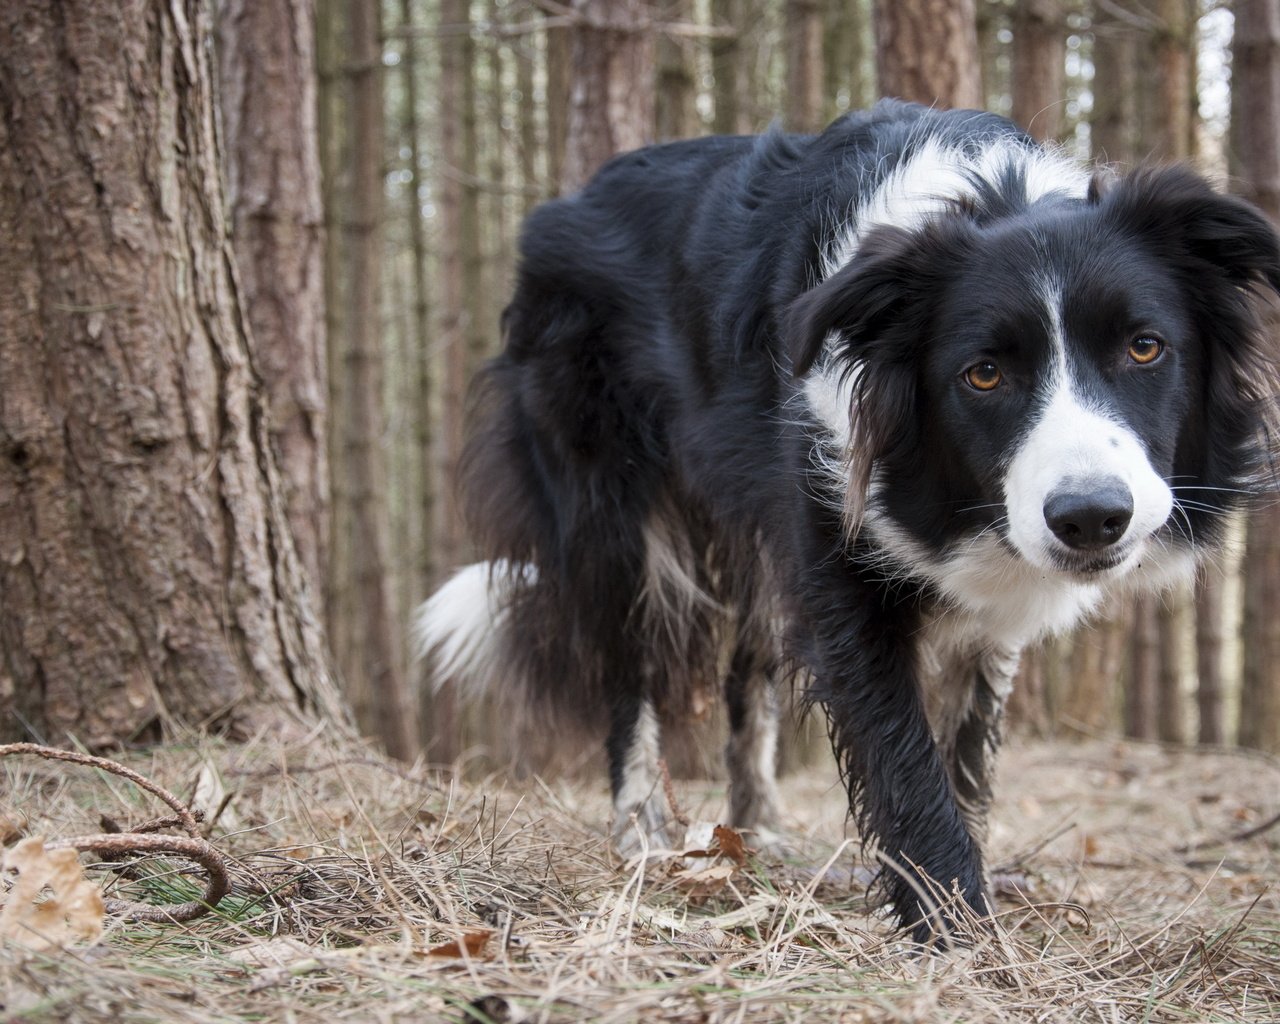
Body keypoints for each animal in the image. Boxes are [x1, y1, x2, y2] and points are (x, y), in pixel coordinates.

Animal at [414, 103, 1274, 942]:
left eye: (1144, 347)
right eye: (983, 374)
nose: (1092, 519)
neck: (995, 195)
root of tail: (558, 208)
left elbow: (969, 739)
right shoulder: (837, 525)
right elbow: (896, 741)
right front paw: (957, 930)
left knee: (748, 665)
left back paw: (756, 837)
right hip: (603, 481)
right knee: (629, 656)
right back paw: (646, 837)